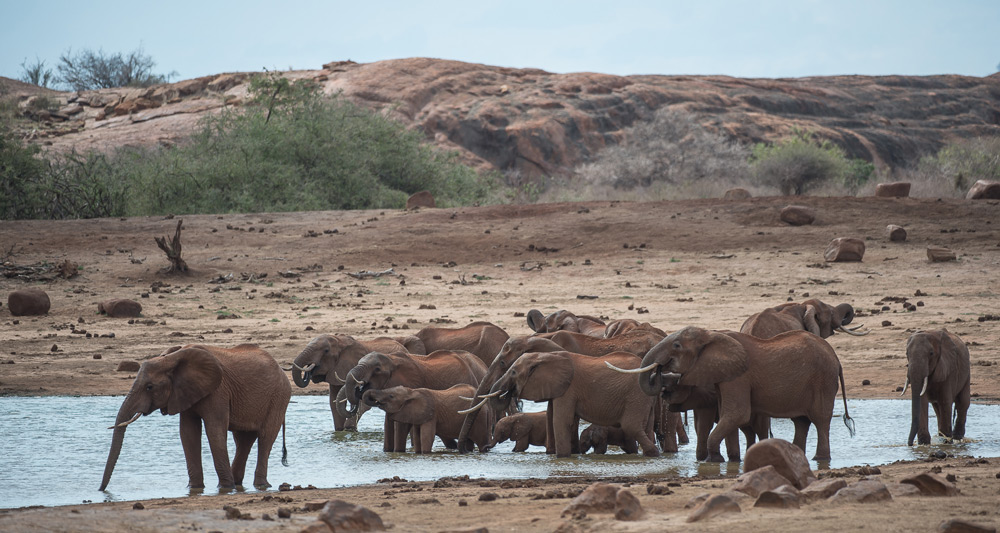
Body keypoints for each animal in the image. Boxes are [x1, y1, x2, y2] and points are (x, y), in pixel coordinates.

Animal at [98, 344, 290, 490]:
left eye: (150, 387)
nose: (101, 490)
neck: (172, 358)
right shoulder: (185, 393)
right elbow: (188, 433)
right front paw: (195, 488)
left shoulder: (218, 390)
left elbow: (214, 430)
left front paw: (224, 488)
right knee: (243, 440)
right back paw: (238, 484)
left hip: (279, 397)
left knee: (265, 437)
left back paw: (260, 485)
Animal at [366, 382, 494, 454]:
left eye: (391, 396)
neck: (411, 392)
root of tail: (486, 406)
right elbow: (417, 437)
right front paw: (419, 453)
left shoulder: (431, 415)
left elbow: (427, 436)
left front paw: (426, 453)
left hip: (481, 419)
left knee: (482, 443)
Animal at [472, 350, 660, 458]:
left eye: (513, 372)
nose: (511, 393)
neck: (545, 356)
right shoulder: (558, 388)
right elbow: (552, 417)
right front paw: (556, 454)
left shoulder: (568, 389)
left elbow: (561, 420)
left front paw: (562, 457)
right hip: (645, 398)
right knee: (647, 426)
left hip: (636, 394)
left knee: (631, 426)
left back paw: (653, 454)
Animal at [620, 326, 856, 460]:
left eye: (676, 345)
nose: (660, 369)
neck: (712, 335)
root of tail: (836, 358)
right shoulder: (724, 376)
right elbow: (728, 415)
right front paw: (724, 460)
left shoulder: (739, 376)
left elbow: (737, 414)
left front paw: (715, 460)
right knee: (801, 422)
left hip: (823, 380)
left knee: (820, 420)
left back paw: (820, 459)